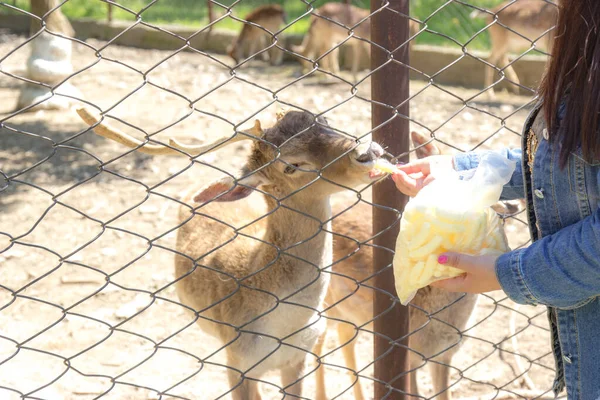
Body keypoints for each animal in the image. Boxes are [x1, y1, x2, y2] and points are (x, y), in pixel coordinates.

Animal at [292, 2, 420, 80]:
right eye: (299, 59)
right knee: (324, 52)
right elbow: (357, 59)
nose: (412, 50)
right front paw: (356, 77)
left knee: (326, 52)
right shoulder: (360, 43)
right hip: (328, 38)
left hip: (330, 39)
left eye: (415, 35)